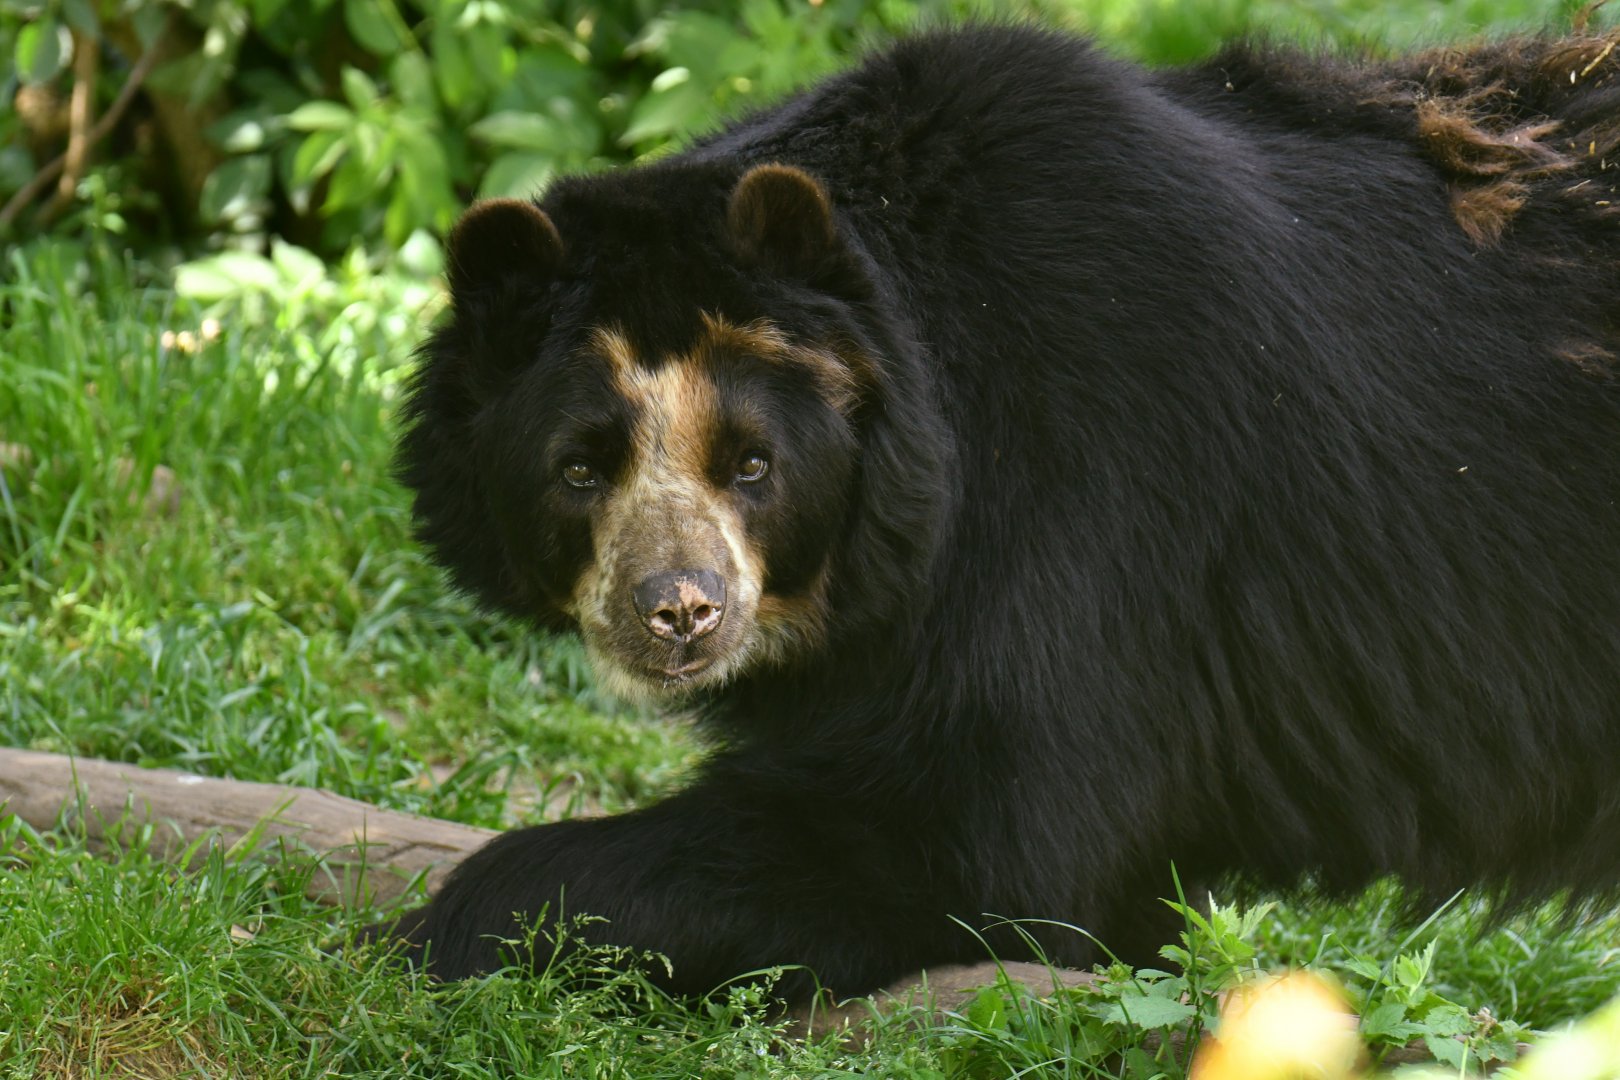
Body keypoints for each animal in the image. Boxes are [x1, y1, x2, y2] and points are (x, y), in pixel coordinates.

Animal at [392, 24, 1620, 998]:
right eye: (579, 469)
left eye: (752, 464)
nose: (680, 611)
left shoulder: (1081, 517)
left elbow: (978, 847)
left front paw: (437, 927)